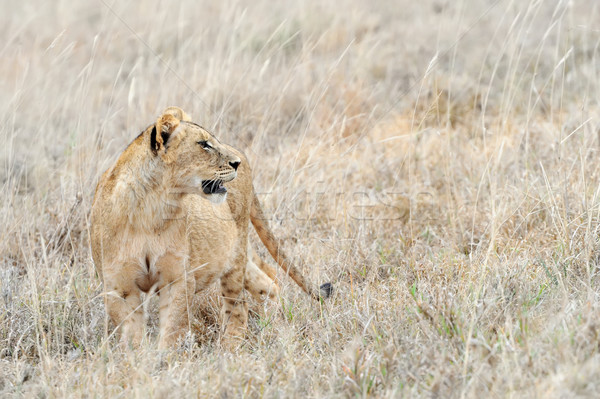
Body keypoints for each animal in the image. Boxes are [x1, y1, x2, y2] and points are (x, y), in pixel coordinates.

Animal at [91, 106, 330, 350]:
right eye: (204, 144)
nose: (236, 163)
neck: (151, 210)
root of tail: (242, 152)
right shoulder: (118, 287)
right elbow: (131, 335)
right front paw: (140, 358)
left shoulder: (177, 279)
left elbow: (172, 329)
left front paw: (164, 357)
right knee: (267, 282)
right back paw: (275, 325)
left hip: (235, 256)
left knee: (239, 305)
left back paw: (230, 349)